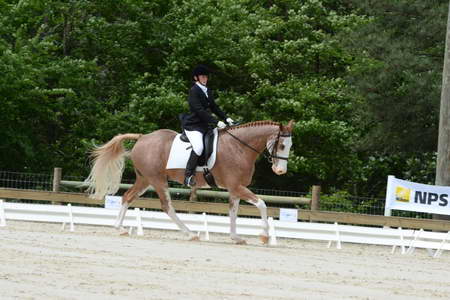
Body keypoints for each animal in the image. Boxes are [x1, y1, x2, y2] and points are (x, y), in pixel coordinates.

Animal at [84, 119, 296, 244]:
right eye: (282, 145)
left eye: (290, 146)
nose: (280, 171)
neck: (239, 147)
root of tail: (143, 137)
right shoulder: (237, 186)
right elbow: (262, 204)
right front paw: (264, 235)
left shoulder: (234, 189)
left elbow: (233, 212)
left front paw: (236, 237)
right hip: (157, 180)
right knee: (167, 206)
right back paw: (190, 233)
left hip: (145, 180)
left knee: (127, 197)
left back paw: (119, 228)